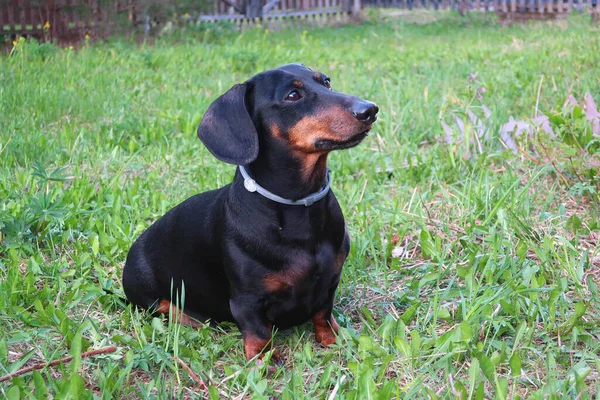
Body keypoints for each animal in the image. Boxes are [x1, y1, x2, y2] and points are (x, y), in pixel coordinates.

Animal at [122, 63, 378, 362]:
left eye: (326, 82)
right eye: (293, 95)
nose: (370, 109)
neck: (297, 206)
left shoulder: (330, 283)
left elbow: (323, 313)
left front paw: (332, 338)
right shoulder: (246, 300)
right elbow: (257, 331)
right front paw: (264, 359)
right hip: (145, 291)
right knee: (163, 307)